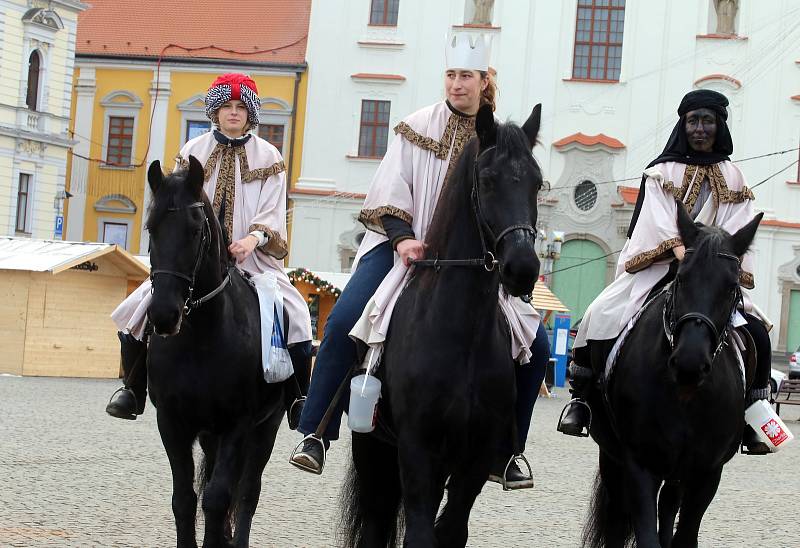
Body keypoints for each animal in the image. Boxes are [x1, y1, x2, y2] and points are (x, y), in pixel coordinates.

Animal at [145, 156, 292, 544]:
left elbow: (217, 497)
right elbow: (184, 498)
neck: (201, 339)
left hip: (266, 428)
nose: (163, 315)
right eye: (151, 228)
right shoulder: (172, 422)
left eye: (195, 230)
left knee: (249, 492)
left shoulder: (236, 426)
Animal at [340, 104, 548, 548]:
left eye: (537, 183)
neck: (461, 335)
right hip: (373, 451)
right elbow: (420, 534)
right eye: (487, 180)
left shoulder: (474, 460)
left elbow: (451, 531)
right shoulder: (419, 451)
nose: (523, 269)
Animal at [584, 206, 764, 548]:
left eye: (732, 286)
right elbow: (646, 535)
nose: (690, 363)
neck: (685, 395)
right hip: (612, 459)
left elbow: (684, 535)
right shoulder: (639, 464)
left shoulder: (707, 472)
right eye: (681, 277)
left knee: (668, 510)